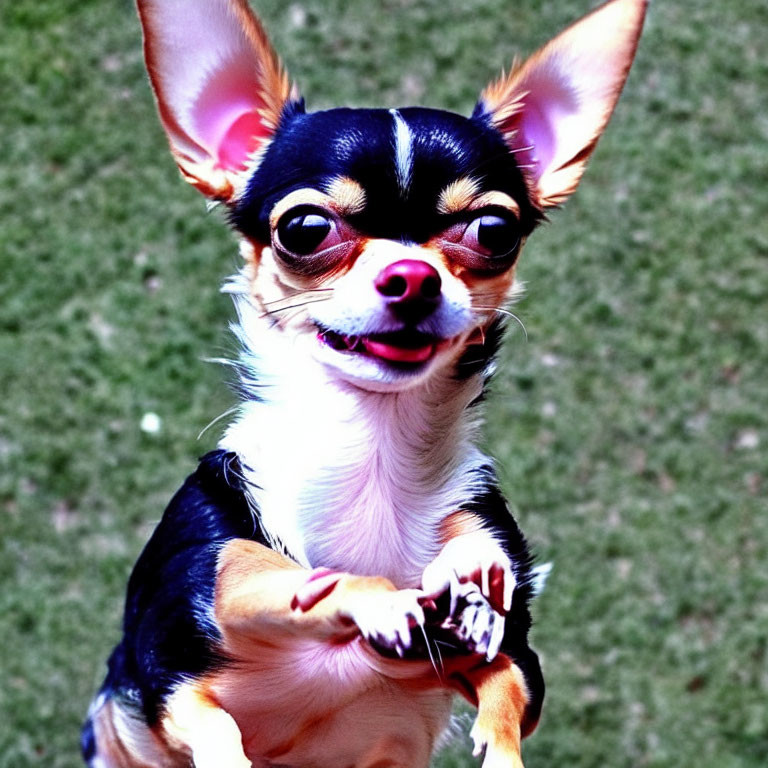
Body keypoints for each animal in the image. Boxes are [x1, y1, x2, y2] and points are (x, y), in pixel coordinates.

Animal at [82, 0, 648, 764]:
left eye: (494, 230)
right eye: (304, 228)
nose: (411, 277)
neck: (371, 451)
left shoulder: (514, 651)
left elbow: (506, 671)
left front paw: (470, 567)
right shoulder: (177, 638)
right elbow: (264, 577)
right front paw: (370, 593)